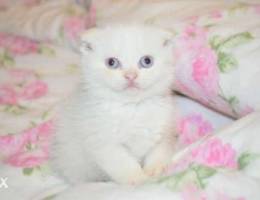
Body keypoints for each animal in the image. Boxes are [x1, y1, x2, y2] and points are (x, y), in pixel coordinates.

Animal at [50, 24, 177, 185]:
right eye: (111, 63)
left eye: (147, 61)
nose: (131, 76)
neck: (132, 108)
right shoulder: (104, 142)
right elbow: (124, 164)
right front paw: (138, 180)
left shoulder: (164, 130)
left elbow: (159, 152)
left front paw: (155, 171)